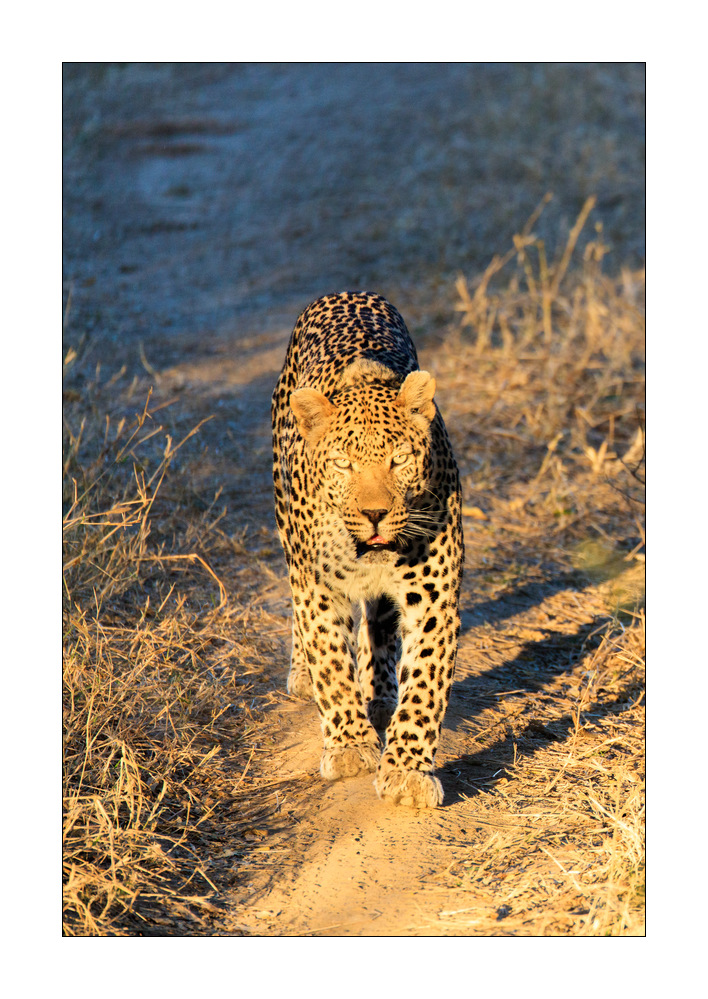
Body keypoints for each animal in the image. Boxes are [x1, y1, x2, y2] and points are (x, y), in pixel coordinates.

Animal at [271, 291, 463, 807]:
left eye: (399, 460)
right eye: (343, 463)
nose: (375, 513)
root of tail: (345, 293)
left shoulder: (433, 599)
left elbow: (424, 682)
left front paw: (408, 771)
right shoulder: (318, 588)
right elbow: (330, 661)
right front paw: (350, 746)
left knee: (378, 626)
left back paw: (380, 695)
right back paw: (304, 676)